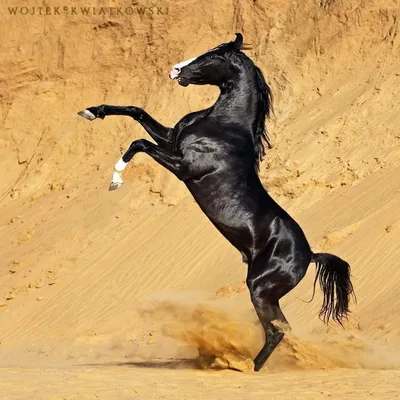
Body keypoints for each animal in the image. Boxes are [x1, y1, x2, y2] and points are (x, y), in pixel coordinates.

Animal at [77, 33, 354, 372]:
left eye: (212, 56)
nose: (175, 70)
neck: (224, 124)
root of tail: (310, 255)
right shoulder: (170, 139)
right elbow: (137, 110)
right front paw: (91, 111)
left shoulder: (183, 165)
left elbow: (138, 143)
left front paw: (115, 179)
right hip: (265, 293)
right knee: (281, 328)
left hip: (260, 289)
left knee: (277, 330)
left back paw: (244, 366)